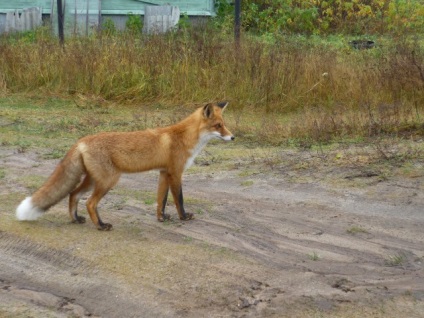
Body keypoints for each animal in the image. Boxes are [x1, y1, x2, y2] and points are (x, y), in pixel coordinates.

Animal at [16, 103, 234, 230]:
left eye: (224, 124)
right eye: (218, 126)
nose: (233, 137)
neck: (183, 138)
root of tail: (81, 140)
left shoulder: (164, 173)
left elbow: (161, 201)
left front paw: (162, 218)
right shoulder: (175, 173)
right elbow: (178, 199)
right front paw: (183, 217)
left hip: (92, 180)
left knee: (73, 195)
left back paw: (76, 220)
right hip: (108, 180)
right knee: (90, 203)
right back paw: (101, 225)